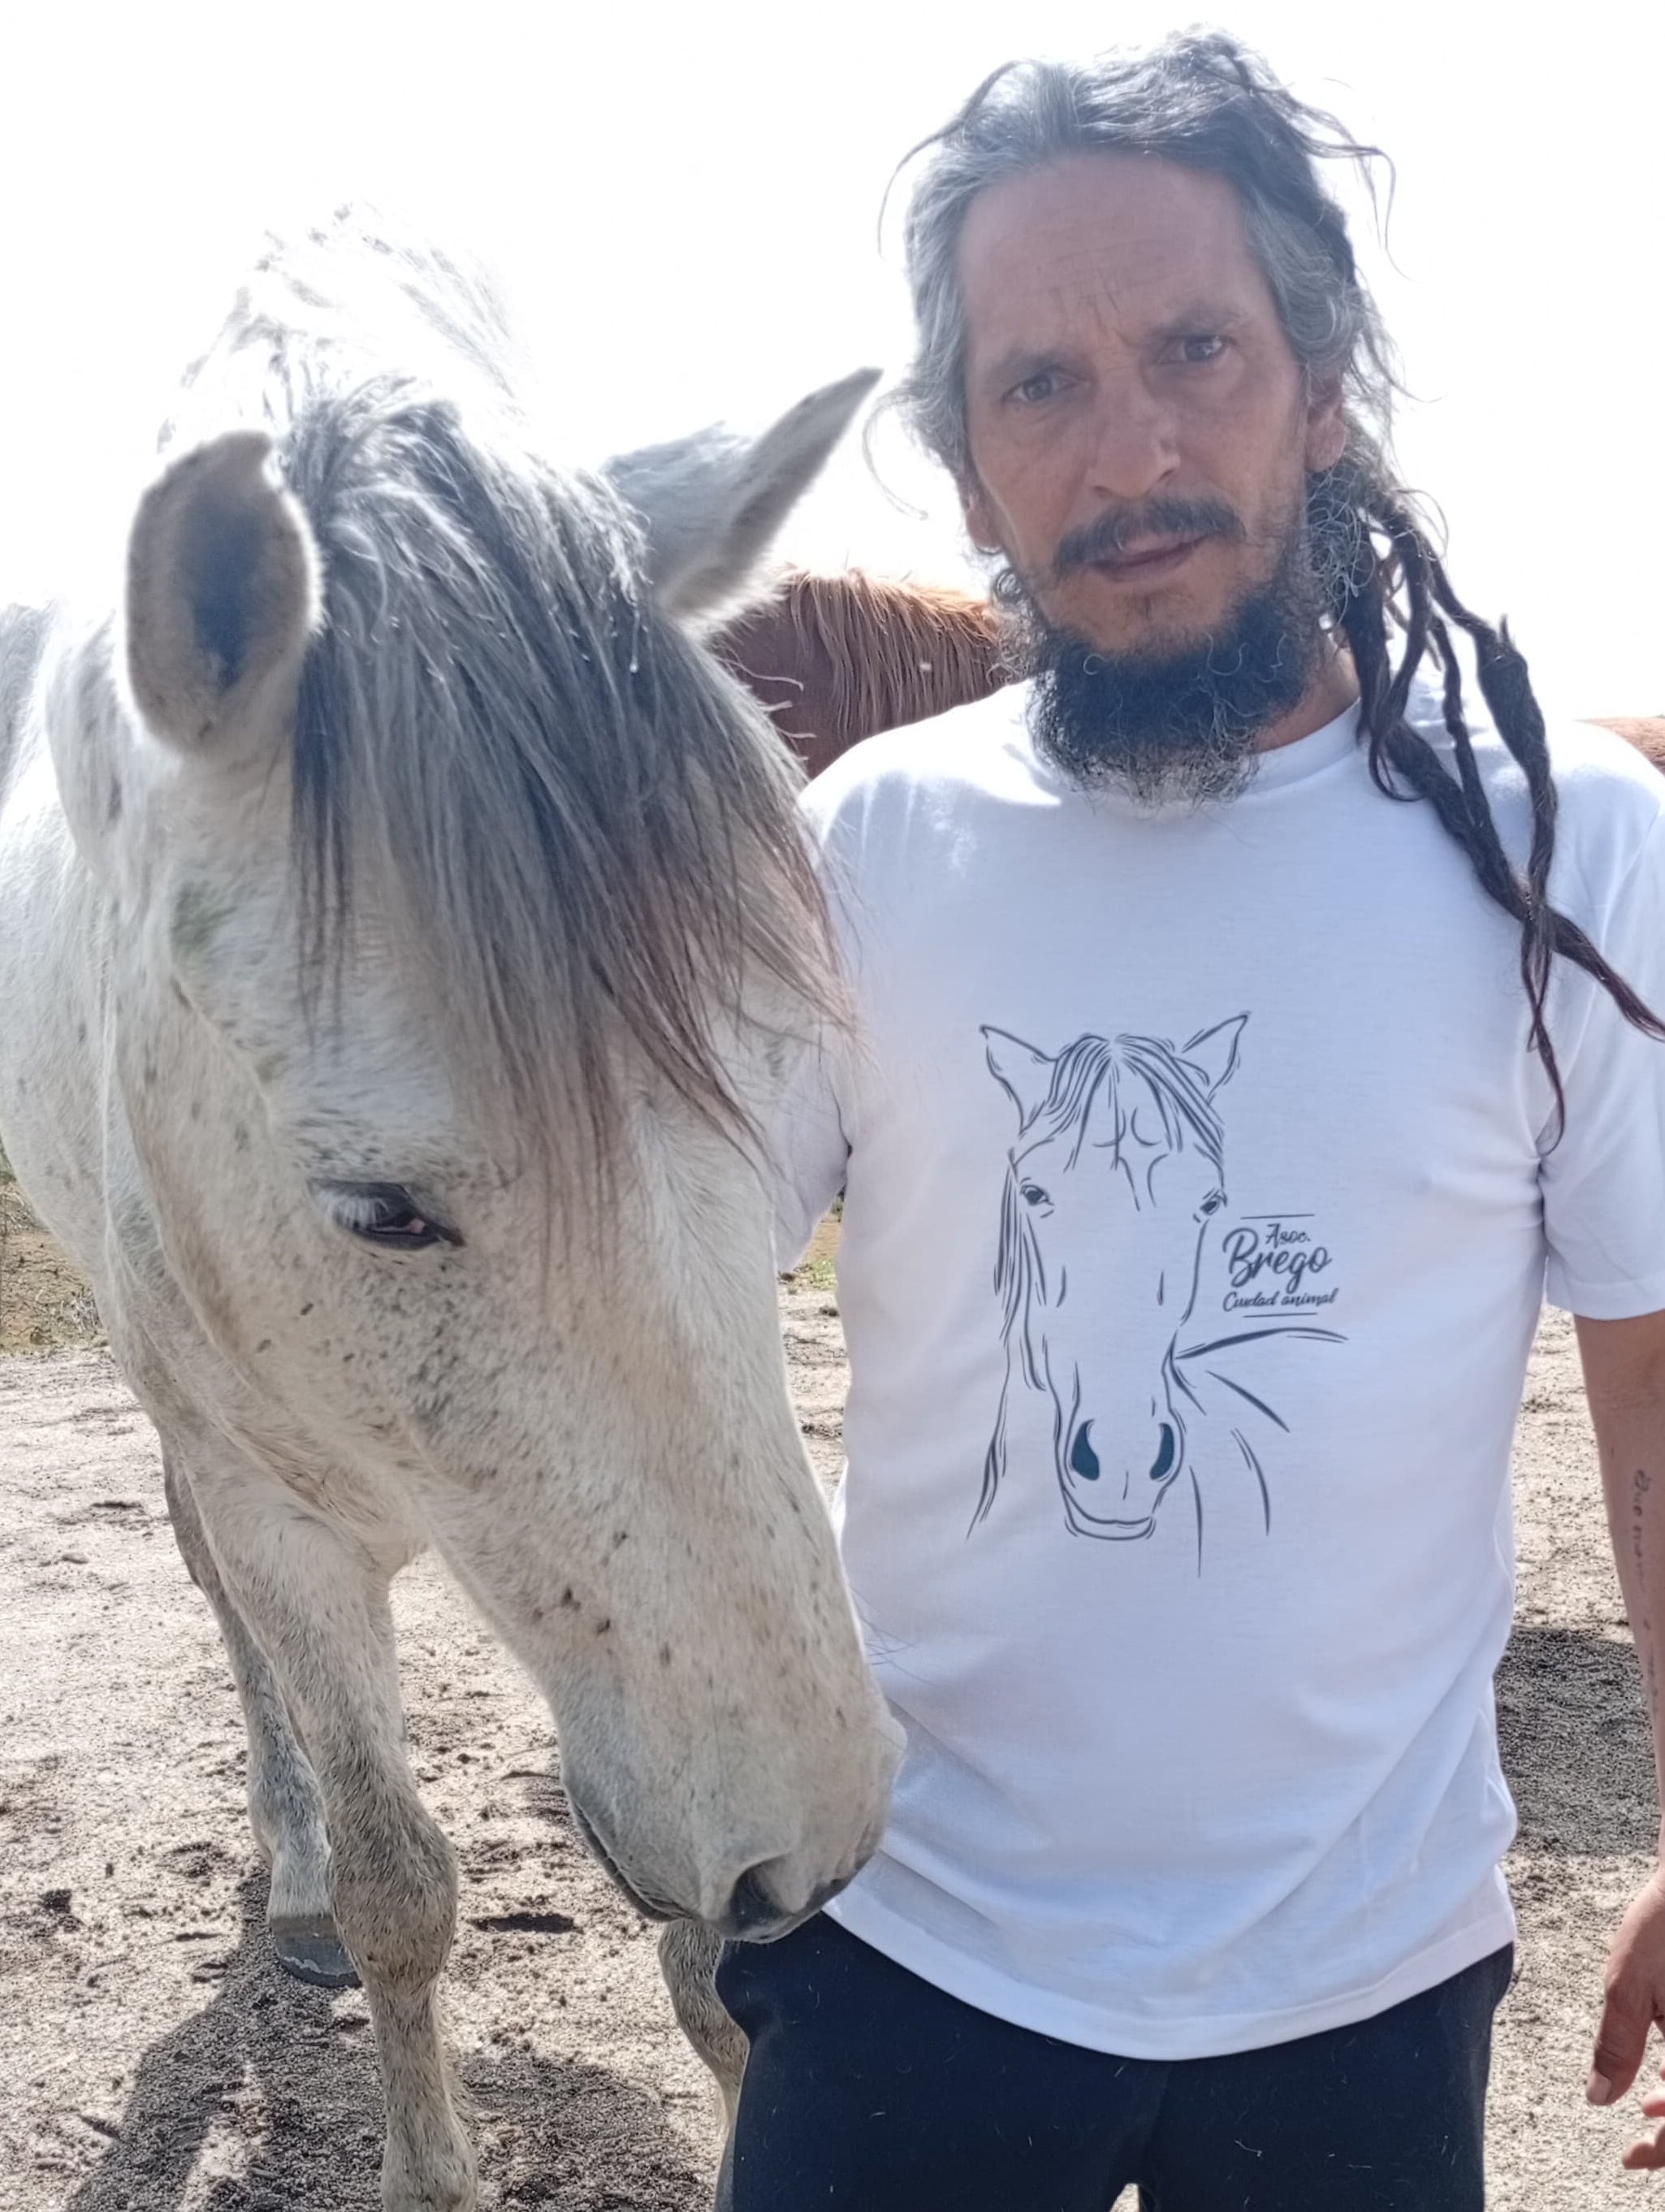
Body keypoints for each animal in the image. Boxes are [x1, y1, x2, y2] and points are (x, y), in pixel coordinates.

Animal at [0, 217, 900, 2212]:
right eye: (380, 1209)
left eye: (789, 1101)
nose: (813, 1837)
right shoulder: (284, 1511)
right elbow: (406, 1883)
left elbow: (700, 1959)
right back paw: (290, 1871)